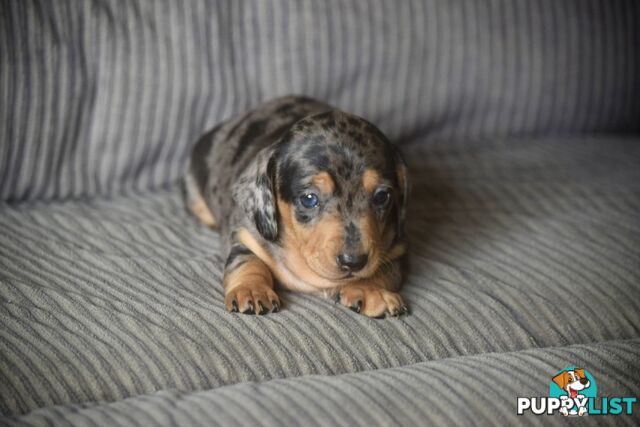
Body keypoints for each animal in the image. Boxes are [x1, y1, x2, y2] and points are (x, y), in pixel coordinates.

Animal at [185, 96, 410, 318]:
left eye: (382, 197)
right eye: (309, 198)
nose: (353, 261)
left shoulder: (395, 250)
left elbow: (382, 269)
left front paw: (370, 289)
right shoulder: (246, 235)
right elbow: (246, 261)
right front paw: (251, 290)